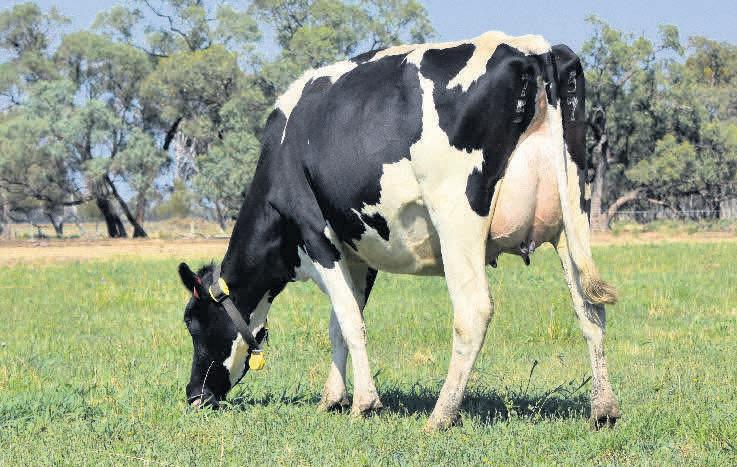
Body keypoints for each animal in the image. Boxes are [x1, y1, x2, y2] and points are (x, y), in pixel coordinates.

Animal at [177, 31, 621, 431]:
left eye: (193, 323)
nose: (194, 395)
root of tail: (533, 48)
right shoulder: (358, 250)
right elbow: (339, 324)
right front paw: (332, 398)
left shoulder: (316, 234)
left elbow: (350, 322)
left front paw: (364, 403)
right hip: (573, 215)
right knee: (589, 308)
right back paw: (603, 410)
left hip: (457, 216)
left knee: (474, 311)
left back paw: (441, 416)